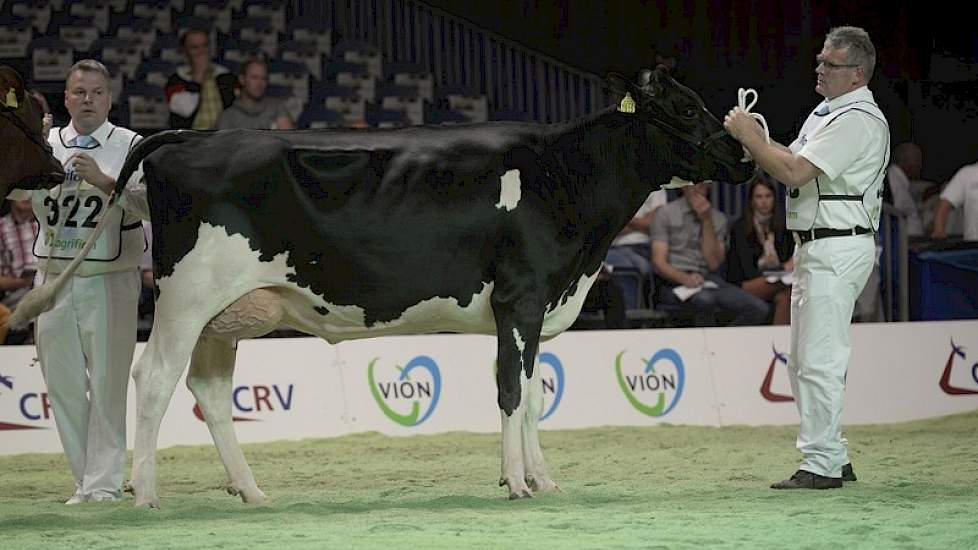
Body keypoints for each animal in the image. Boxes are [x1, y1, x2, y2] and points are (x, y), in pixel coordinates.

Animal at [17, 68, 756, 508]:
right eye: (684, 107)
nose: (745, 155)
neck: (563, 180)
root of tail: (180, 139)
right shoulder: (519, 296)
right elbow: (512, 391)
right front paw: (518, 482)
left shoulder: (537, 305)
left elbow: (535, 393)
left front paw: (542, 476)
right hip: (184, 298)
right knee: (152, 380)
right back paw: (144, 494)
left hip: (226, 313)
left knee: (209, 390)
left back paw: (252, 492)